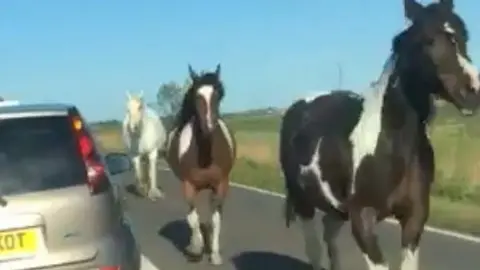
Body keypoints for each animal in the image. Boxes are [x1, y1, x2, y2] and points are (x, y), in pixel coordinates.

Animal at [165, 63, 236, 266]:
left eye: (218, 94)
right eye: (197, 95)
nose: (209, 128)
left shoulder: (220, 186)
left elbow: (215, 220)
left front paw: (215, 254)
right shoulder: (188, 186)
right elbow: (193, 219)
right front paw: (196, 248)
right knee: (191, 216)